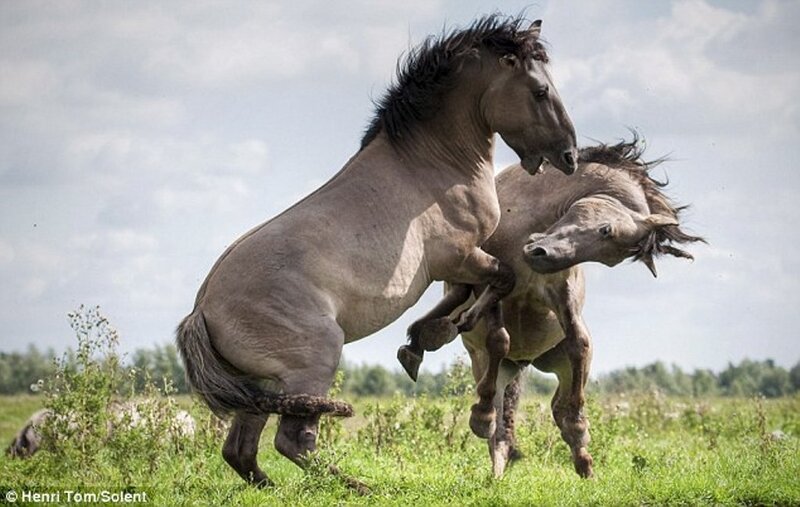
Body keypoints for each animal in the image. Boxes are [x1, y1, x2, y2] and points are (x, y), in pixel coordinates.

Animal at [176, 13, 578, 487]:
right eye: (540, 91)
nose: (569, 155)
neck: (432, 163)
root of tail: (201, 311)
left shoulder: (458, 265)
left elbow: (470, 298)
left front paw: (421, 341)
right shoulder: (461, 256)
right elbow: (499, 305)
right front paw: (477, 405)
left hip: (263, 385)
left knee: (241, 451)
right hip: (316, 358)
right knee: (293, 441)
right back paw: (359, 487)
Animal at [399, 137, 704, 478]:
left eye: (611, 256)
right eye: (606, 230)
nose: (539, 254)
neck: (528, 214)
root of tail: (523, 361)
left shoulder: (561, 294)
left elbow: (579, 343)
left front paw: (580, 430)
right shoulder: (491, 284)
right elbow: (498, 338)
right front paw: (481, 417)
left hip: (556, 367)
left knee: (555, 406)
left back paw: (582, 458)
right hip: (486, 362)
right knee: (498, 409)